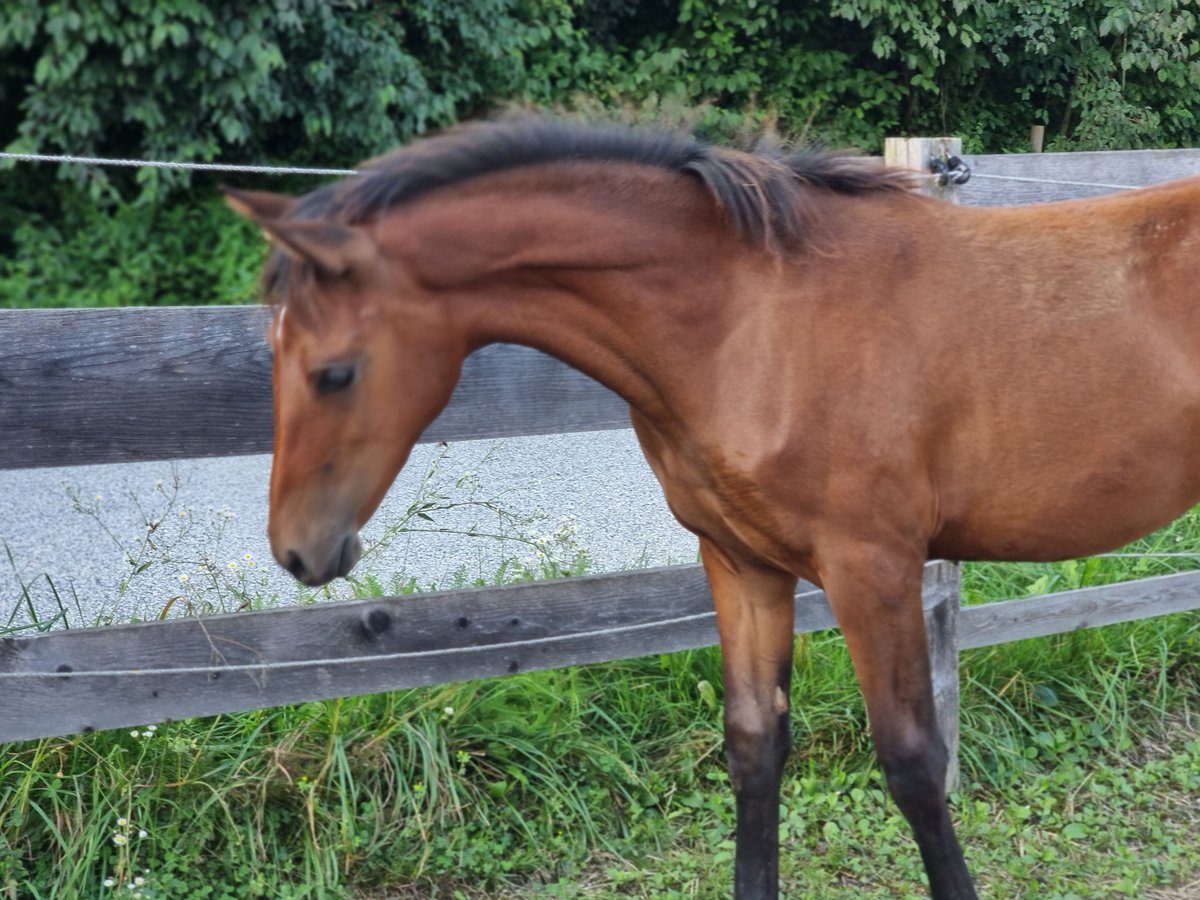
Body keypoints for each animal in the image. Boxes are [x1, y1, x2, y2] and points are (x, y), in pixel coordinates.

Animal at [229, 120, 1200, 900]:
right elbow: (754, 749)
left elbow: (915, 765)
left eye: (334, 372)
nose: (300, 551)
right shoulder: (742, 564)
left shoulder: (872, 569)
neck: (751, 322)